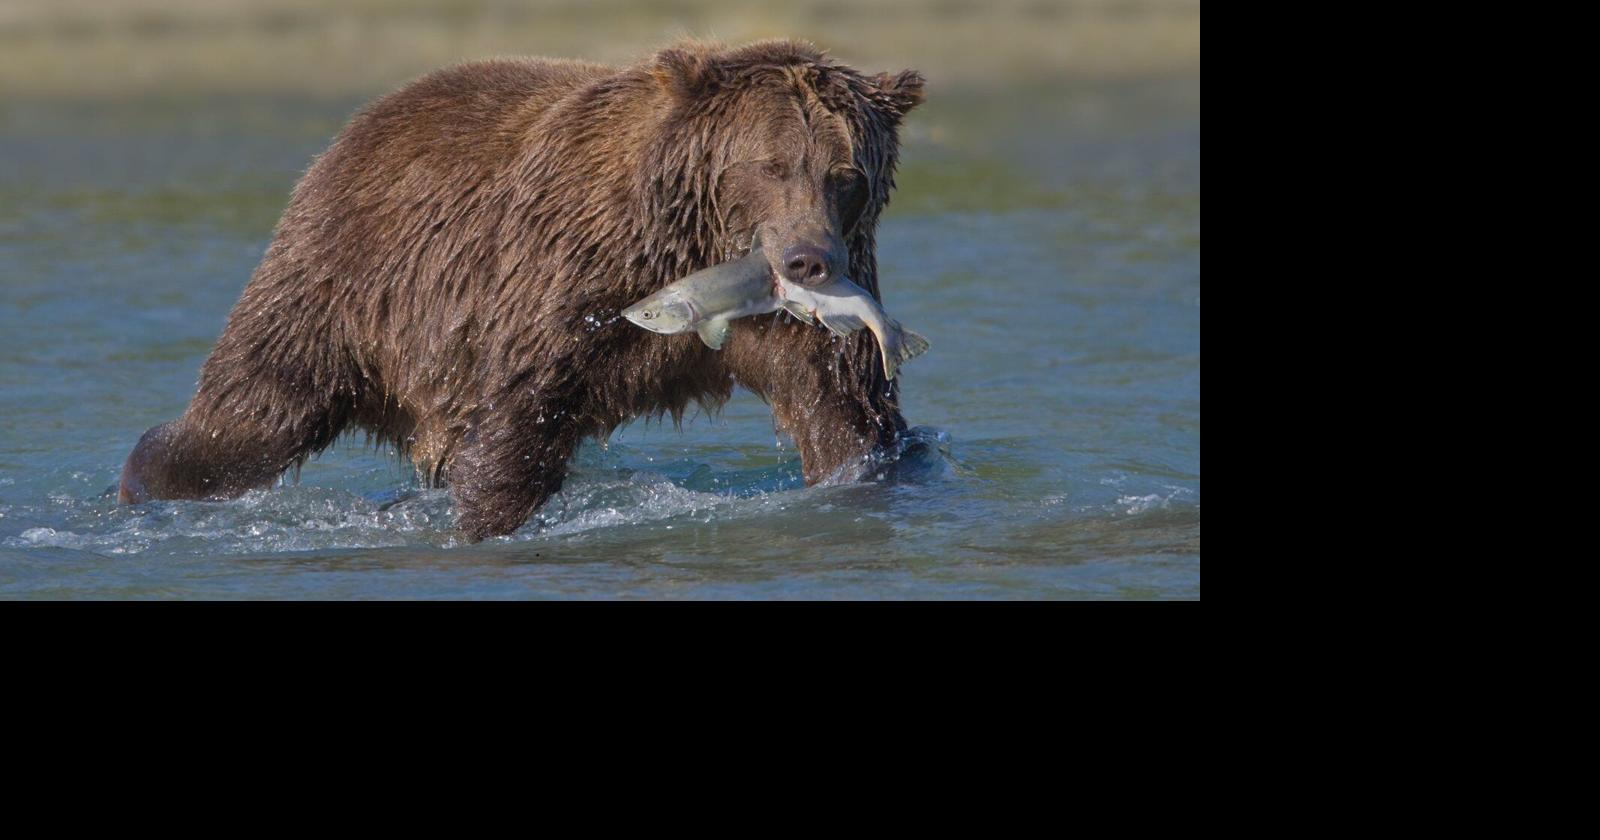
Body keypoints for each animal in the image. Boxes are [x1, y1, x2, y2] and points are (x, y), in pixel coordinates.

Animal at [117, 40, 926, 541]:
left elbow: (844, 412)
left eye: (845, 174)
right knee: (252, 411)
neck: (692, 244)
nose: (808, 261)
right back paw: (146, 481)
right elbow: (523, 409)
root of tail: (356, 127)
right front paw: (486, 518)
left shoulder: (804, 324)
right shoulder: (565, 272)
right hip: (342, 280)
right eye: (769, 165)